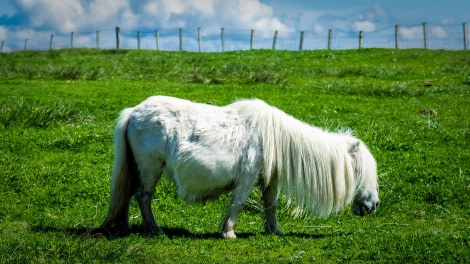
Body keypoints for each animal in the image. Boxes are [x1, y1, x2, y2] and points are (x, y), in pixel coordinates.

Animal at [97, 96, 380, 238]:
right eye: (360, 172)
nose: (373, 206)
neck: (275, 139)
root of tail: (134, 111)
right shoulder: (247, 178)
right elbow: (238, 203)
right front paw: (228, 232)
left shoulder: (270, 181)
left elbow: (270, 205)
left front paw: (274, 230)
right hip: (150, 168)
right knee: (143, 196)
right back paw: (154, 229)